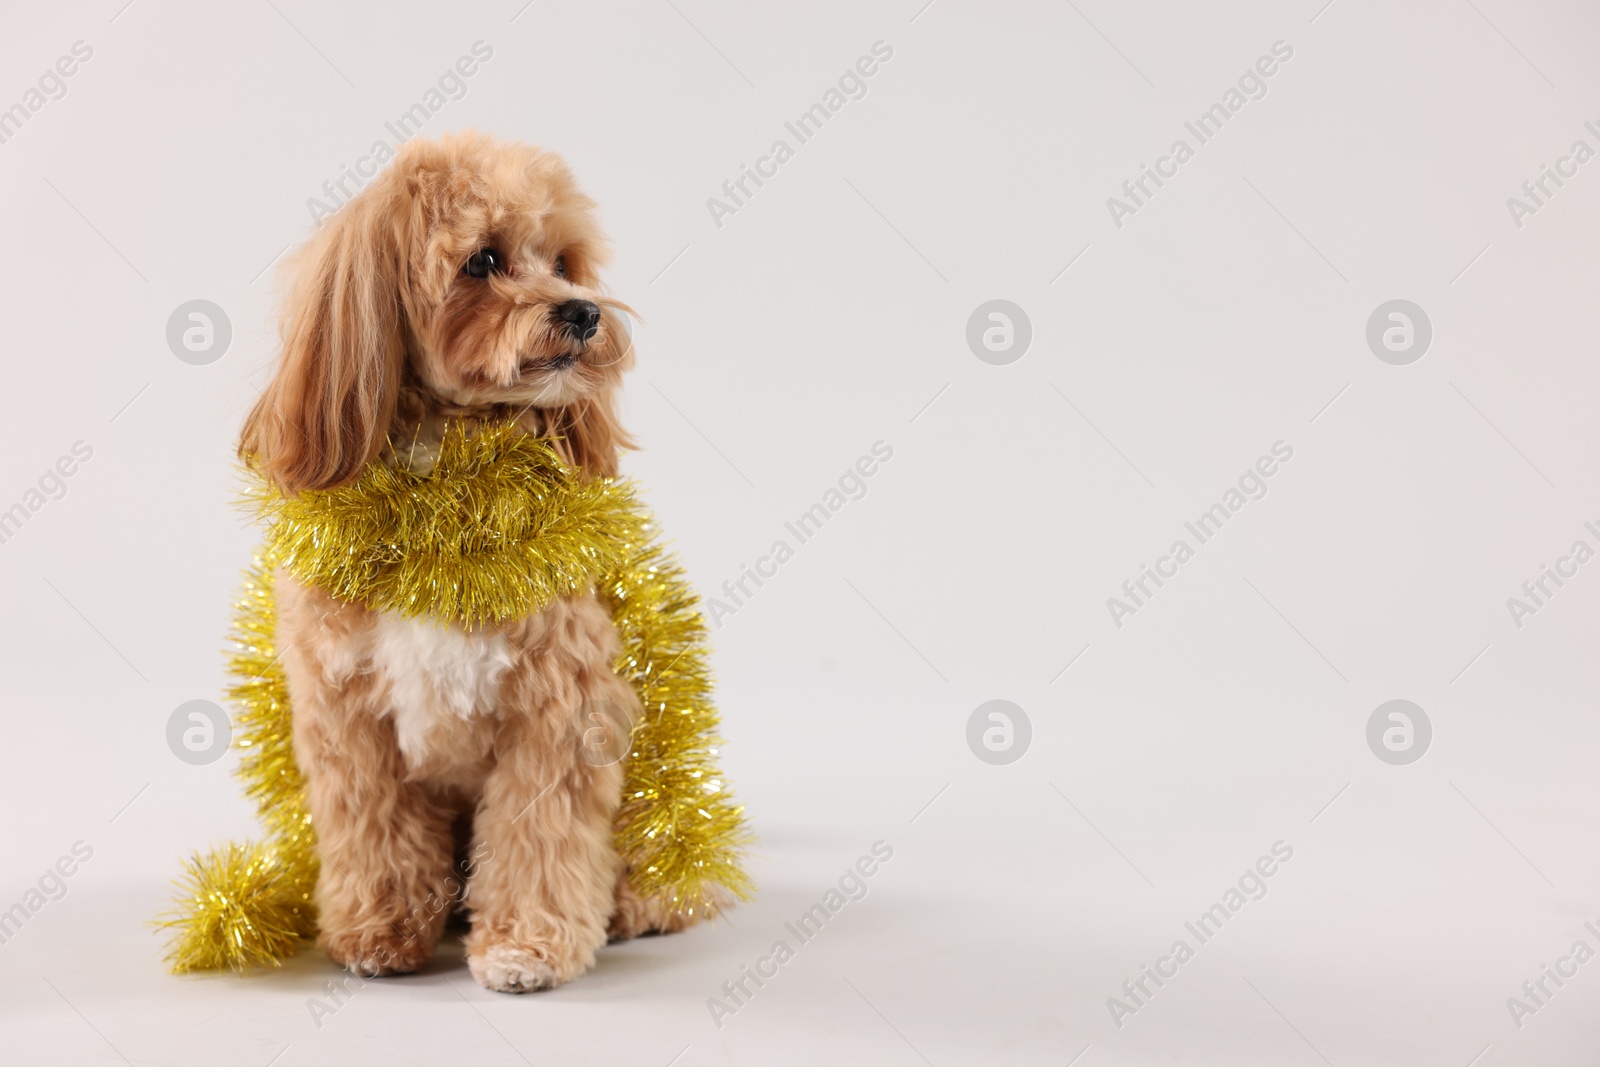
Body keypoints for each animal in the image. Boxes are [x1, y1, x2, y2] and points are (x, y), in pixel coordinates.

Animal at [238, 131, 700, 991]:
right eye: (483, 260)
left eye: (565, 261)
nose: (584, 311)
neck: (447, 500)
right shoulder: (349, 719)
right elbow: (375, 834)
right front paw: (377, 932)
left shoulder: (559, 709)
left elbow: (538, 838)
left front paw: (527, 947)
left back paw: (637, 905)